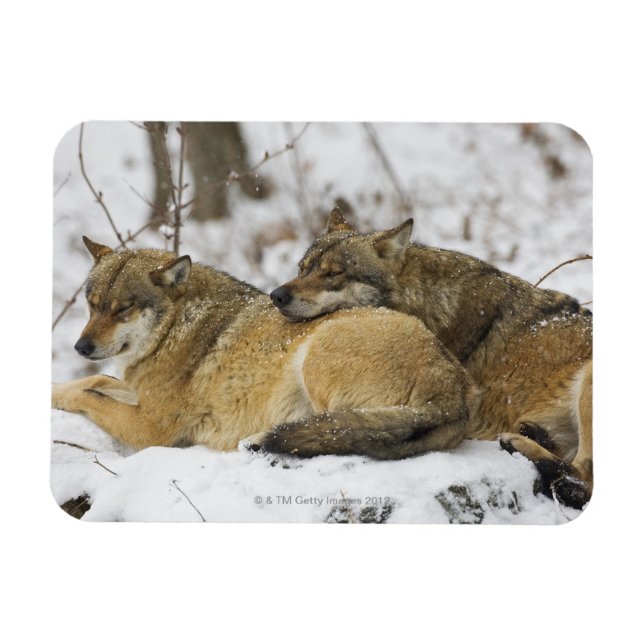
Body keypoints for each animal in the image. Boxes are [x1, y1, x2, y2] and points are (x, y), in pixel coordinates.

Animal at [52, 236, 479, 460]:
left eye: (122, 308)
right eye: (92, 305)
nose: (81, 346)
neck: (176, 329)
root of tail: (455, 392)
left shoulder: (151, 430)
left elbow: (90, 395)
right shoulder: (135, 392)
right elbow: (93, 382)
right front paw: (55, 391)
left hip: (316, 357)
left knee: (337, 434)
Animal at [269, 209, 593, 509]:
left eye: (333, 273)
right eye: (301, 269)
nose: (277, 295)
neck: (424, 299)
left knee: (582, 480)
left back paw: (519, 443)